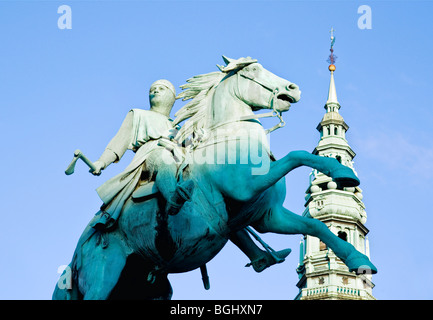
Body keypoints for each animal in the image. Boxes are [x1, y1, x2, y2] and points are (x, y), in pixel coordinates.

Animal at [53, 55, 374, 300]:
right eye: (252, 71)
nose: (293, 88)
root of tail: (76, 254)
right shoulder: (247, 188)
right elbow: (296, 155)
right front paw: (340, 171)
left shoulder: (267, 217)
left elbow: (314, 225)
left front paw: (358, 259)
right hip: (103, 274)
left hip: (150, 287)